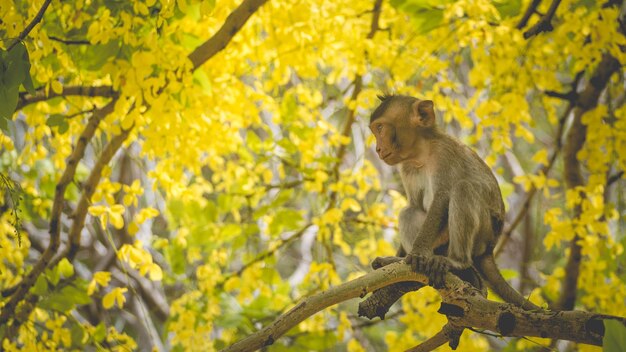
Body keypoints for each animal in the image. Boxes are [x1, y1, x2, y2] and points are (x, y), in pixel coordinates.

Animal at [366, 93, 536, 310]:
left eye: (380, 128)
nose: (378, 148)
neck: (421, 154)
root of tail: (490, 249)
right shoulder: (407, 167)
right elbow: (415, 205)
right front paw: (401, 259)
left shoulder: (444, 153)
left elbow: (441, 198)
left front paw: (418, 254)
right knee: (408, 212)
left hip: (483, 234)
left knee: (462, 189)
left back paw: (457, 262)